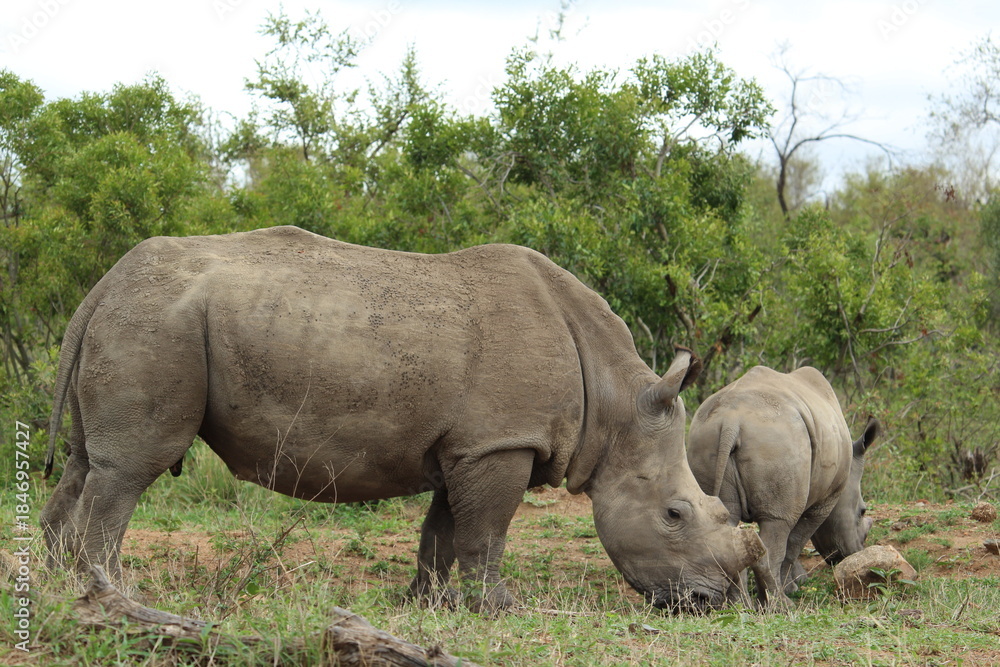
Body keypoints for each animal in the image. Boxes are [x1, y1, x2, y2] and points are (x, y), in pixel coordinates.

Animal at [41, 225, 764, 612]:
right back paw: (113, 591)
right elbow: (486, 532)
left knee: (83, 462)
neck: (615, 408)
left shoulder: (469, 445)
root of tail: (104, 283)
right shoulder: (501, 443)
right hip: (159, 323)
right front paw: (499, 608)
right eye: (675, 513)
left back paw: (59, 586)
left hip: (139, 317)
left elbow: (442, 530)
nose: (713, 601)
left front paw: (428, 604)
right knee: (130, 468)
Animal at [686, 366, 879, 606]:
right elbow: (794, 542)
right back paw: (779, 604)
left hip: (705, 439)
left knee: (727, 522)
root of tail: (731, 421)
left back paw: (739, 604)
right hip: (777, 442)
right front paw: (792, 587)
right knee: (777, 524)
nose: (856, 551)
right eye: (862, 512)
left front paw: (796, 583)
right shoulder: (825, 500)